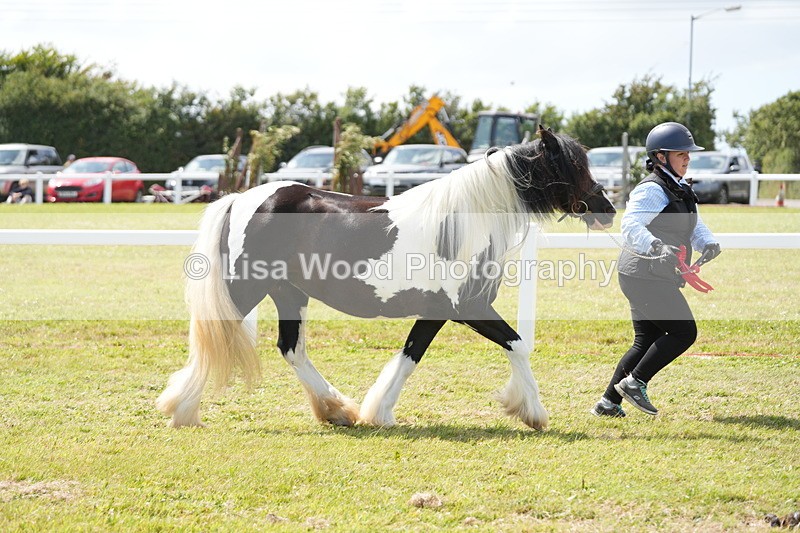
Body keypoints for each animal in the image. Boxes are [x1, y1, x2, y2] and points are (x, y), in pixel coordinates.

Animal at [157, 127, 616, 431]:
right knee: (214, 343)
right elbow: (518, 345)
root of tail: (242, 198)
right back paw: (183, 411)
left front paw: (378, 412)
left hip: (289, 294)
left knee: (291, 350)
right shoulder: (467, 308)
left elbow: (410, 357)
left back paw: (336, 409)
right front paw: (532, 411)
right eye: (574, 164)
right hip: (248, 288)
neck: (462, 222)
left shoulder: (437, 312)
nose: (607, 208)